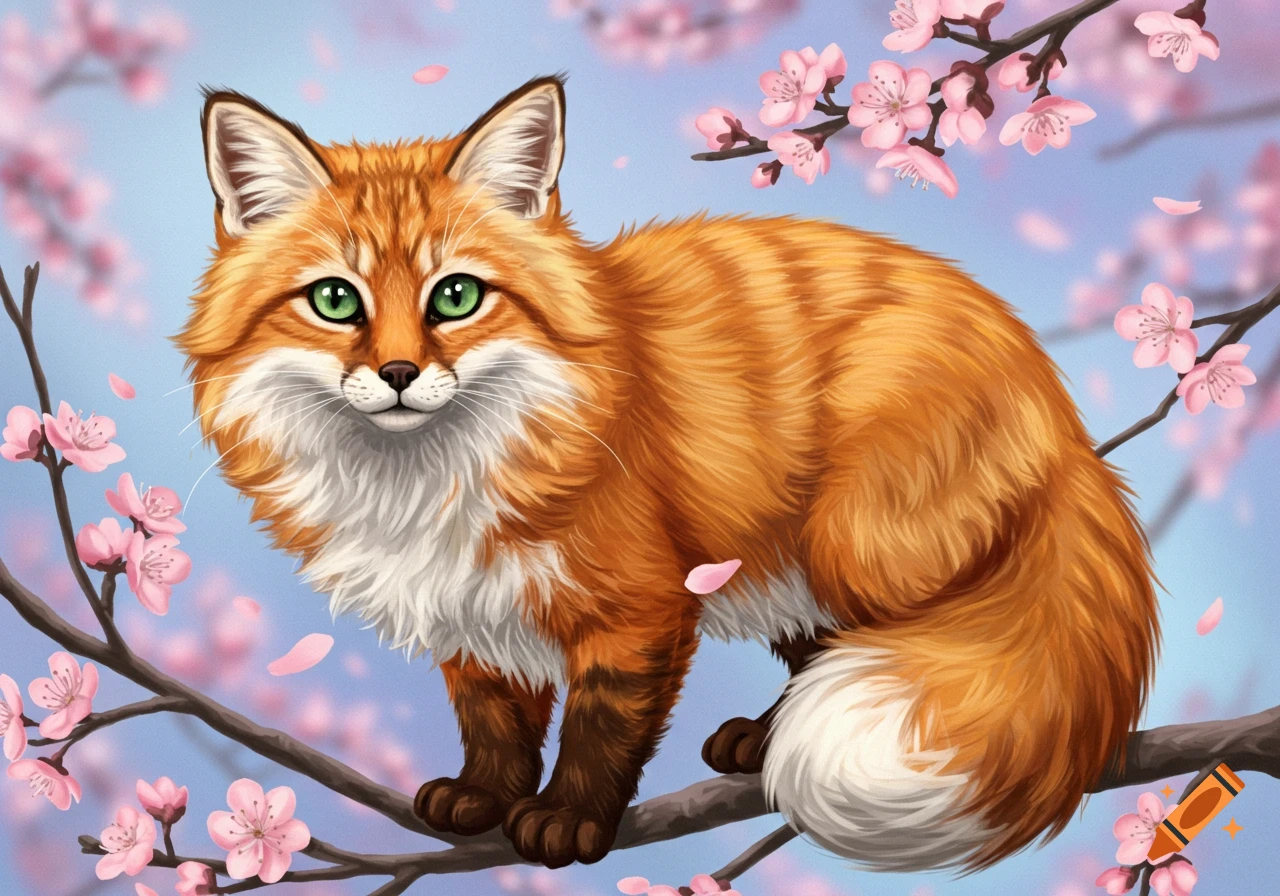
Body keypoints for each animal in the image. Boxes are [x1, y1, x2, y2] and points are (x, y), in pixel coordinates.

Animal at [181, 75, 1160, 872]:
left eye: (455, 297)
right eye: (335, 300)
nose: (395, 373)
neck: (425, 486)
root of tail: (1060, 413)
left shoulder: (639, 604)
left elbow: (600, 726)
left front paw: (569, 820)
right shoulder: (472, 605)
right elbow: (496, 721)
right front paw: (486, 797)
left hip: (854, 551)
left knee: (889, 649)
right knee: (821, 649)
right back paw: (762, 740)